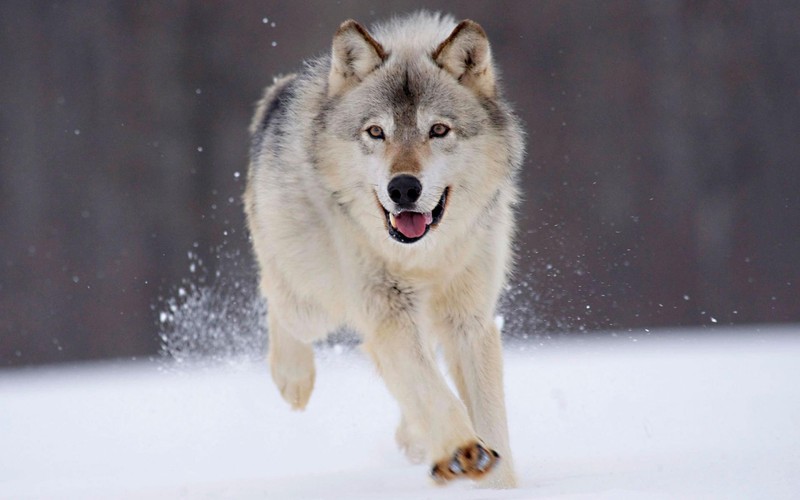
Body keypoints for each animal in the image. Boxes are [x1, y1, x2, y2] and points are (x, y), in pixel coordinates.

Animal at [244, 10, 524, 488]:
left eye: (438, 130)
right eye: (376, 132)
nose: (404, 188)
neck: (423, 257)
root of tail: (279, 92)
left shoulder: (469, 320)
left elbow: (488, 417)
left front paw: (496, 482)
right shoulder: (388, 311)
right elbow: (433, 391)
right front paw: (461, 450)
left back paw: (415, 440)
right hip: (313, 302)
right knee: (277, 301)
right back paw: (293, 379)